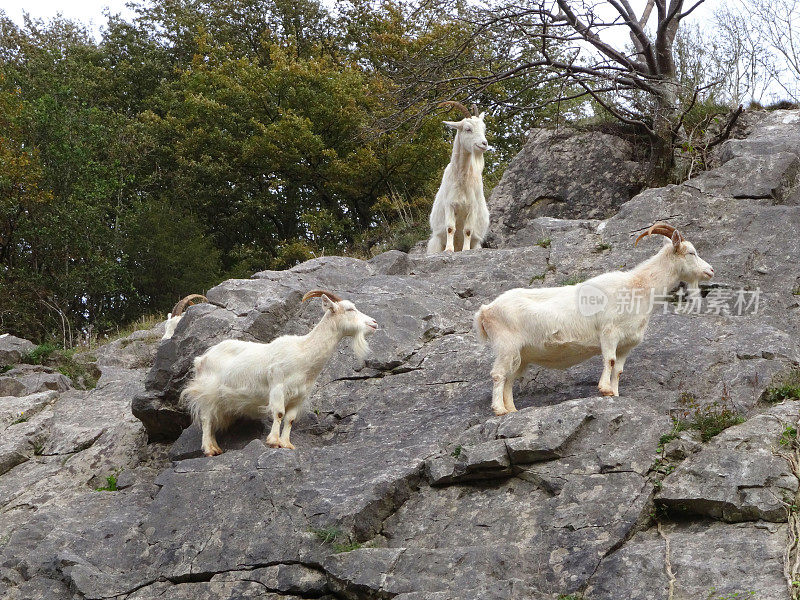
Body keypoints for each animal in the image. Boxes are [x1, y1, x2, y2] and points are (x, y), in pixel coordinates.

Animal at [180, 290, 378, 454]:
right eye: (350, 309)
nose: (374, 323)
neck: (303, 352)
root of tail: (201, 359)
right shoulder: (277, 386)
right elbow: (279, 413)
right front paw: (274, 441)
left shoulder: (299, 396)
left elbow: (290, 419)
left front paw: (286, 444)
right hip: (207, 393)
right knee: (206, 418)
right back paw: (209, 449)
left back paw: (215, 446)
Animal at [428, 100, 490, 253]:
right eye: (468, 129)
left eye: (484, 128)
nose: (484, 144)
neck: (461, 177)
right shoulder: (450, 205)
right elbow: (450, 228)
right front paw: (449, 250)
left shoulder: (472, 207)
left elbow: (467, 230)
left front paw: (466, 250)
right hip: (435, 242)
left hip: (477, 243)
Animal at [472, 223, 716, 414]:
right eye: (691, 253)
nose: (711, 270)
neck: (637, 288)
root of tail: (486, 310)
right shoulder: (609, 333)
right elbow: (609, 360)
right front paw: (605, 390)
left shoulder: (627, 344)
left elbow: (619, 369)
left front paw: (615, 394)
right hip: (506, 346)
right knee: (498, 375)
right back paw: (500, 410)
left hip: (520, 355)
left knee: (510, 378)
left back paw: (512, 409)